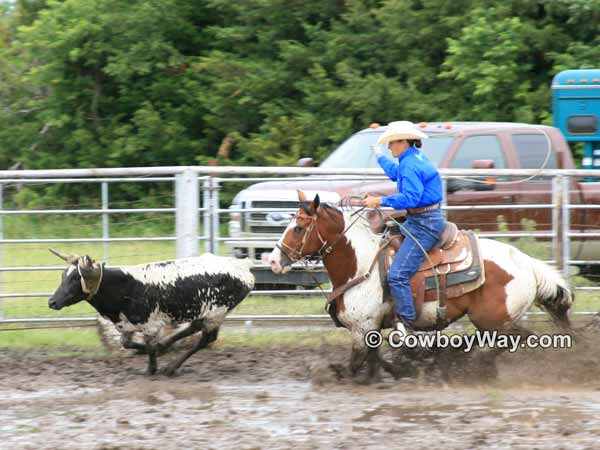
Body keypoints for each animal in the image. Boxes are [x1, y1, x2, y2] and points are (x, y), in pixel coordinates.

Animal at [270, 190, 576, 380]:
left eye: (298, 228)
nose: (273, 260)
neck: (360, 265)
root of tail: (527, 264)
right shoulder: (371, 328)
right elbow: (373, 360)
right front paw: (397, 371)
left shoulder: (362, 328)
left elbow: (354, 364)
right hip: (490, 321)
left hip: (493, 320)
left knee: (519, 338)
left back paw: (470, 365)